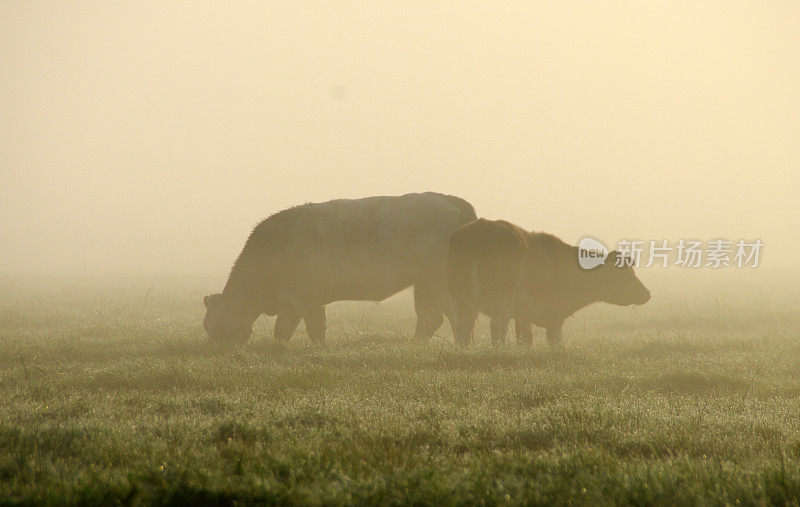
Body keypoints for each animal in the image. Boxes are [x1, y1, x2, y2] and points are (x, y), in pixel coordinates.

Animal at [203, 193, 476, 346]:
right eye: (206, 326)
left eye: (218, 323)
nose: (215, 347)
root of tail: (452, 202)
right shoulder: (312, 301)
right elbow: (316, 329)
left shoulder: (293, 300)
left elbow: (282, 331)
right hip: (424, 284)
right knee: (430, 317)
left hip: (441, 280)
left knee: (459, 314)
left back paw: (461, 347)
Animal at [446, 220, 652, 348]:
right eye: (625, 275)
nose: (647, 294)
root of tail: (480, 228)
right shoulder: (555, 315)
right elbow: (552, 339)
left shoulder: (524, 315)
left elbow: (525, 338)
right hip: (502, 298)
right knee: (497, 326)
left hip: (460, 298)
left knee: (462, 326)